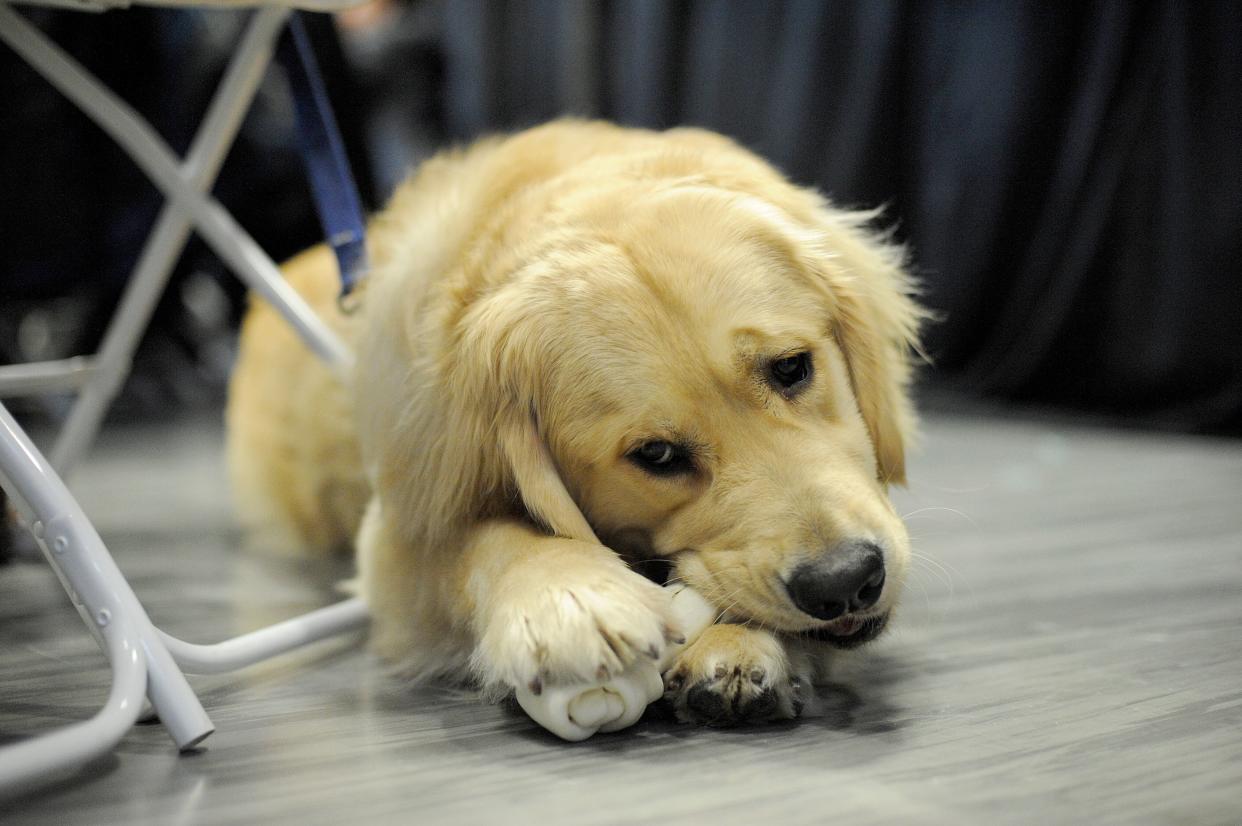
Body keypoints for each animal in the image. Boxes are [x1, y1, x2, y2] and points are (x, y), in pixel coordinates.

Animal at [226, 117, 924, 720]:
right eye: (656, 455)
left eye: (791, 367)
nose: (846, 581)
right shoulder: (399, 544)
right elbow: (482, 538)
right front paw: (568, 600)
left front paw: (737, 644)